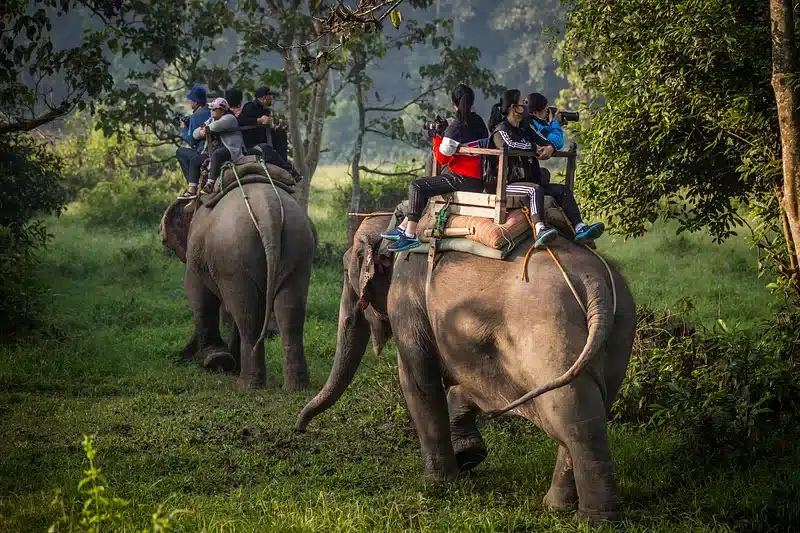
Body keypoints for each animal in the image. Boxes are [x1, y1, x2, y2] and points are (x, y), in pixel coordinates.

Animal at [160, 170, 316, 390]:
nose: (183, 356)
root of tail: (268, 212)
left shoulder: (196, 254)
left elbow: (197, 294)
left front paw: (217, 360)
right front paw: (226, 363)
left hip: (234, 252)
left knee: (247, 315)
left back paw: (246, 385)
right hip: (298, 246)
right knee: (290, 311)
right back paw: (295, 387)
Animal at [296, 214, 640, 520]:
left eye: (346, 270)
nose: (299, 427)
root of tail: (593, 282)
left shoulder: (405, 297)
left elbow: (417, 379)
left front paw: (439, 485)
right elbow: (470, 384)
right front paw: (469, 455)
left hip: (548, 330)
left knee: (572, 417)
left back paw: (594, 520)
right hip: (620, 327)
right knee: (591, 405)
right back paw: (558, 507)